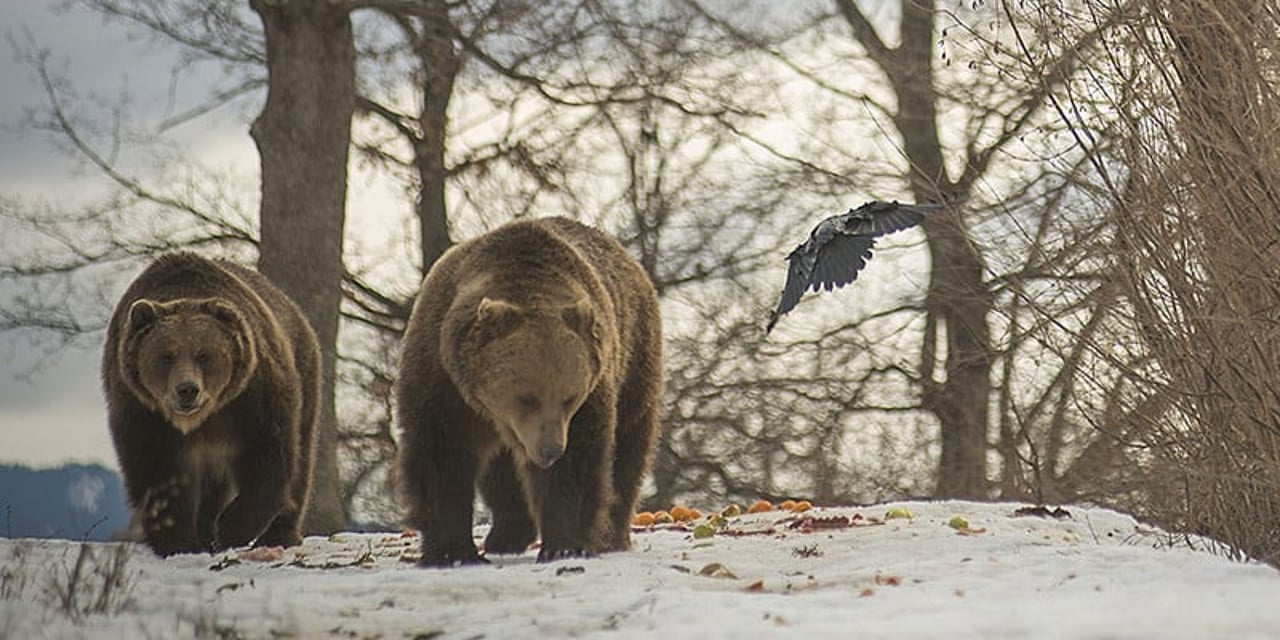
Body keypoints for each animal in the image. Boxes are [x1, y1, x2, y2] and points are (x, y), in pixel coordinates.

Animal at [103, 252, 322, 558]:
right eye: (166, 356)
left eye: (204, 354)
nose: (187, 390)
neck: (204, 416)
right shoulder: (142, 409)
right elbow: (157, 469)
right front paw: (178, 541)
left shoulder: (253, 396)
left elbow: (269, 457)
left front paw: (230, 529)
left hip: (304, 372)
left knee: (302, 459)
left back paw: (279, 534)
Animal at [394, 216, 665, 565]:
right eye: (526, 397)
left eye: (569, 397)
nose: (550, 450)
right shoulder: (440, 375)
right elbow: (441, 452)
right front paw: (452, 551)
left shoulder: (590, 396)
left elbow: (577, 463)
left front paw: (564, 545)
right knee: (501, 470)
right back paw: (505, 535)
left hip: (635, 359)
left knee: (629, 448)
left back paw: (610, 535)